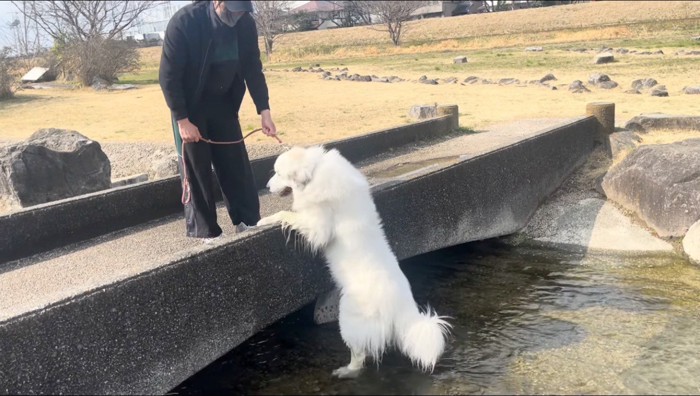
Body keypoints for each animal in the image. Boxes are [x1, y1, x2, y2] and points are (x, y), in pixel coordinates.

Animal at [260, 145, 452, 378]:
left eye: (278, 173)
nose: (267, 186)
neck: (315, 170)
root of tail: (401, 305)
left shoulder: (318, 226)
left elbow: (285, 214)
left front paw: (262, 220)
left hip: (349, 319)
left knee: (360, 354)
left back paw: (346, 371)